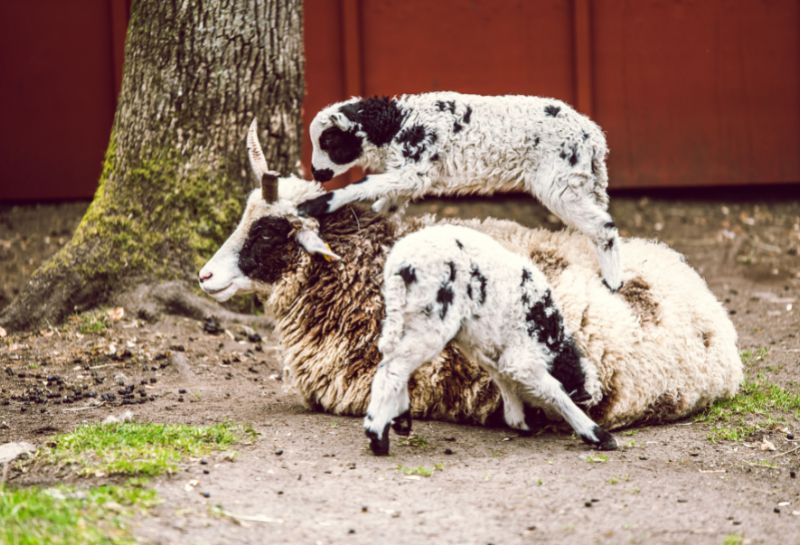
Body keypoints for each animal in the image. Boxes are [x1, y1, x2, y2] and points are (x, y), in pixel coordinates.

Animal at [300, 91, 624, 292]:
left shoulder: (415, 171)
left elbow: (364, 184)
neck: (396, 124)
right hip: (584, 181)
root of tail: (593, 137)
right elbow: (387, 204)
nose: (316, 173)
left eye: (328, 141)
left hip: (559, 182)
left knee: (604, 226)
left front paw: (316, 205)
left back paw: (614, 282)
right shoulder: (408, 176)